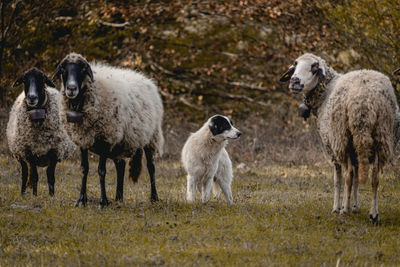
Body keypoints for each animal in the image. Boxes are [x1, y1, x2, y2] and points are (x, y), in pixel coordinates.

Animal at [6, 68, 76, 196]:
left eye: (42, 79)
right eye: (24, 80)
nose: (32, 97)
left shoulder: (55, 151)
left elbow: (50, 176)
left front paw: (51, 196)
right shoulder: (29, 152)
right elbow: (34, 176)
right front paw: (35, 196)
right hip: (19, 153)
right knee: (24, 173)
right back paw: (23, 194)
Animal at [53, 52, 164, 209]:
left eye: (83, 69)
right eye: (63, 69)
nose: (71, 88)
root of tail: (147, 80)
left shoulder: (105, 138)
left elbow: (101, 170)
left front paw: (102, 201)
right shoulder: (83, 139)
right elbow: (84, 168)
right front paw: (81, 200)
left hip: (151, 137)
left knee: (151, 167)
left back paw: (154, 197)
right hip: (120, 143)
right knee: (121, 165)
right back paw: (118, 198)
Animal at [280, 53, 398, 223]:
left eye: (314, 67)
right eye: (295, 64)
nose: (294, 81)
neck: (325, 92)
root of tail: (364, 100)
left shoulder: (332, 148)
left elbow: (338, 179)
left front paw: (338, 207)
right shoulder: (356, 152)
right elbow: (356, 179)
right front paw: (355, 207)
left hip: (343, 138)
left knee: (348, 175)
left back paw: (345, 210)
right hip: (380, 137)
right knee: (374, 177)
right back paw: (374, 214)